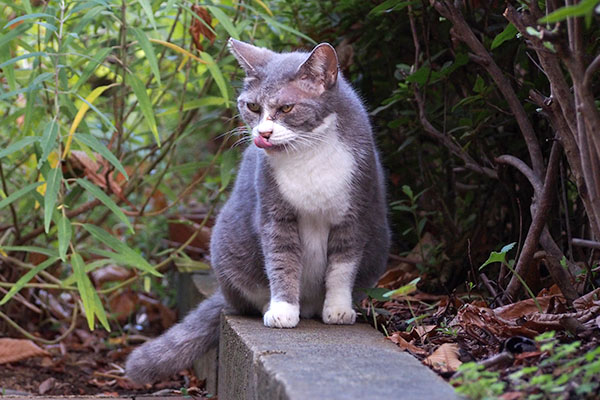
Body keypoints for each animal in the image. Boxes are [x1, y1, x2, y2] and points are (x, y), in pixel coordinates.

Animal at [125, 39, 390, 382]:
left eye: (286, 108)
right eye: (252, 107)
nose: (263, 134)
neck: (308, 152)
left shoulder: (353, 213)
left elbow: (342, 267)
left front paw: (339, 309)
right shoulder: (275, 214)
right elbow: (281, 261)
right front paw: (282, 310)